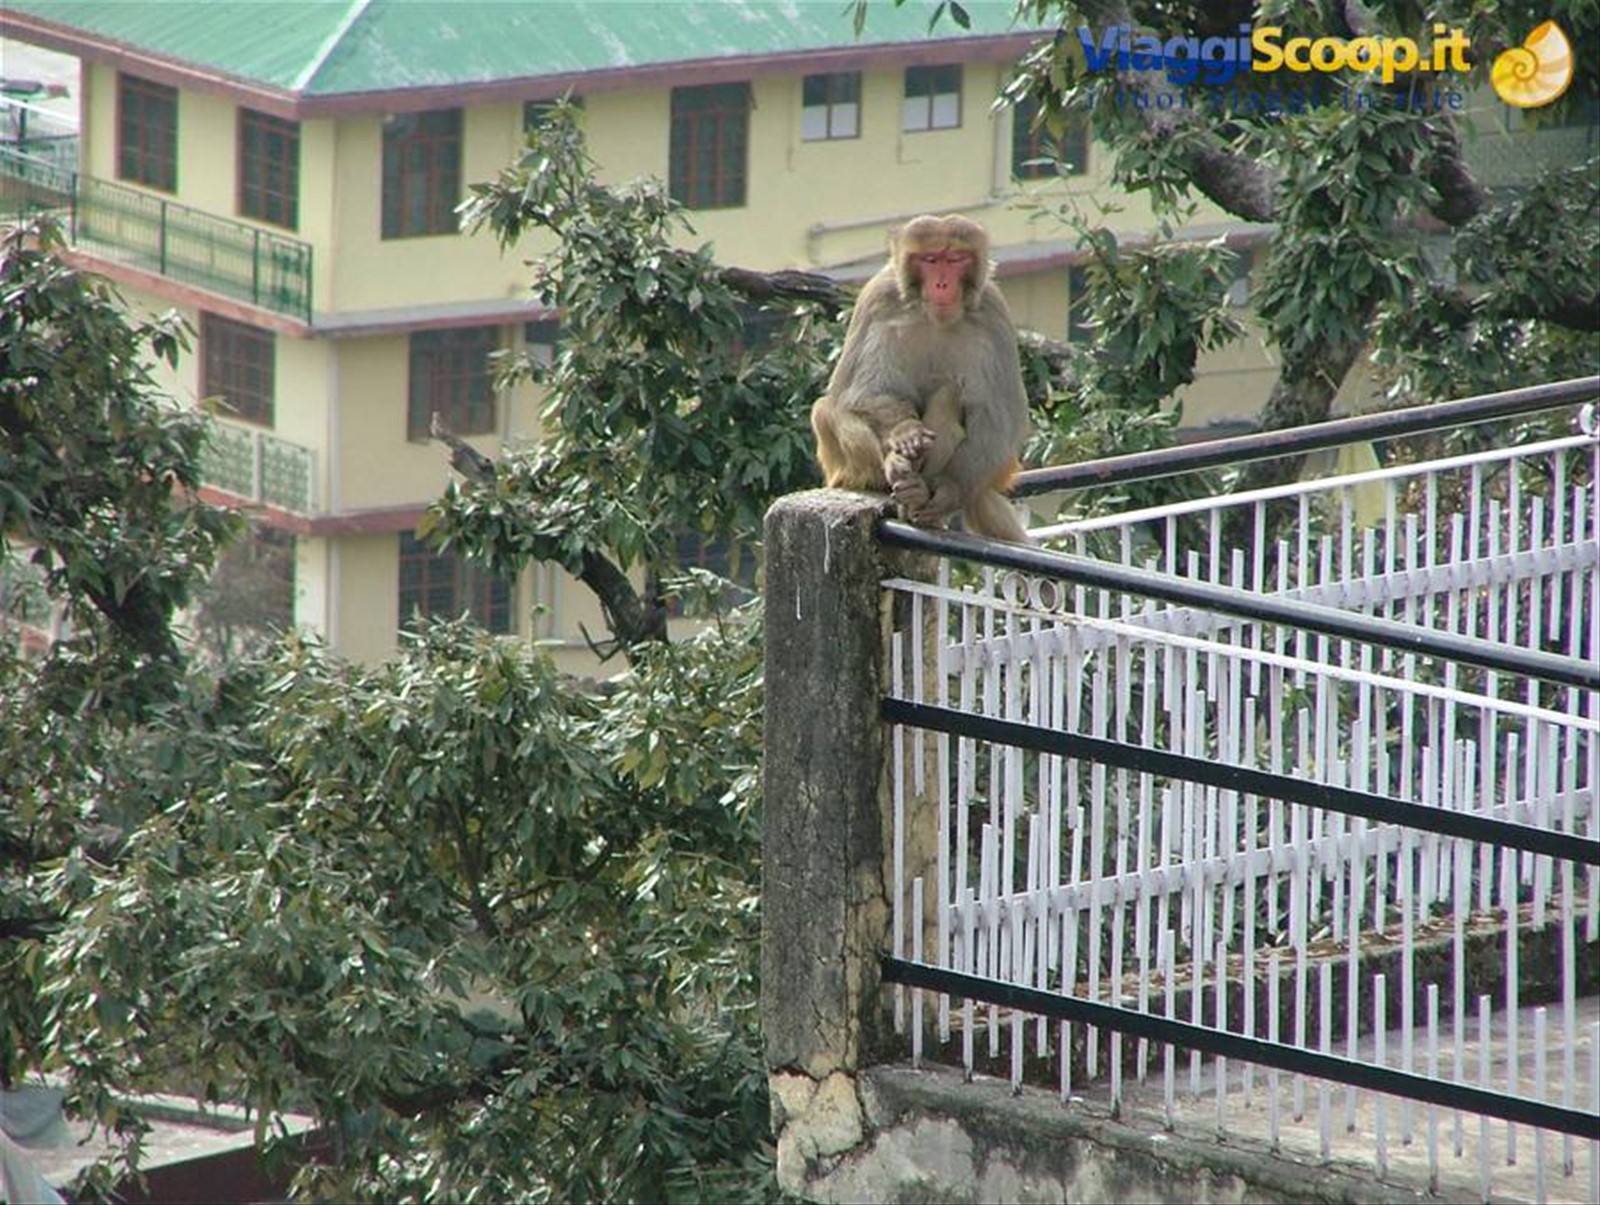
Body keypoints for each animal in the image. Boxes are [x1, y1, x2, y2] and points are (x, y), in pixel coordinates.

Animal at [810, 214, 1030, 543]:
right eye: (930, 259)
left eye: (955, 259)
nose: (942, 284)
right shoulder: (880, 297)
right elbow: (859, 392)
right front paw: (905, 433)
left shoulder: (993, 313)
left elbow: (998, 416)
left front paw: (950, 489)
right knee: (827, 409)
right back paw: (897, 467)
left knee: (949, 394)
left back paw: (920, 494)